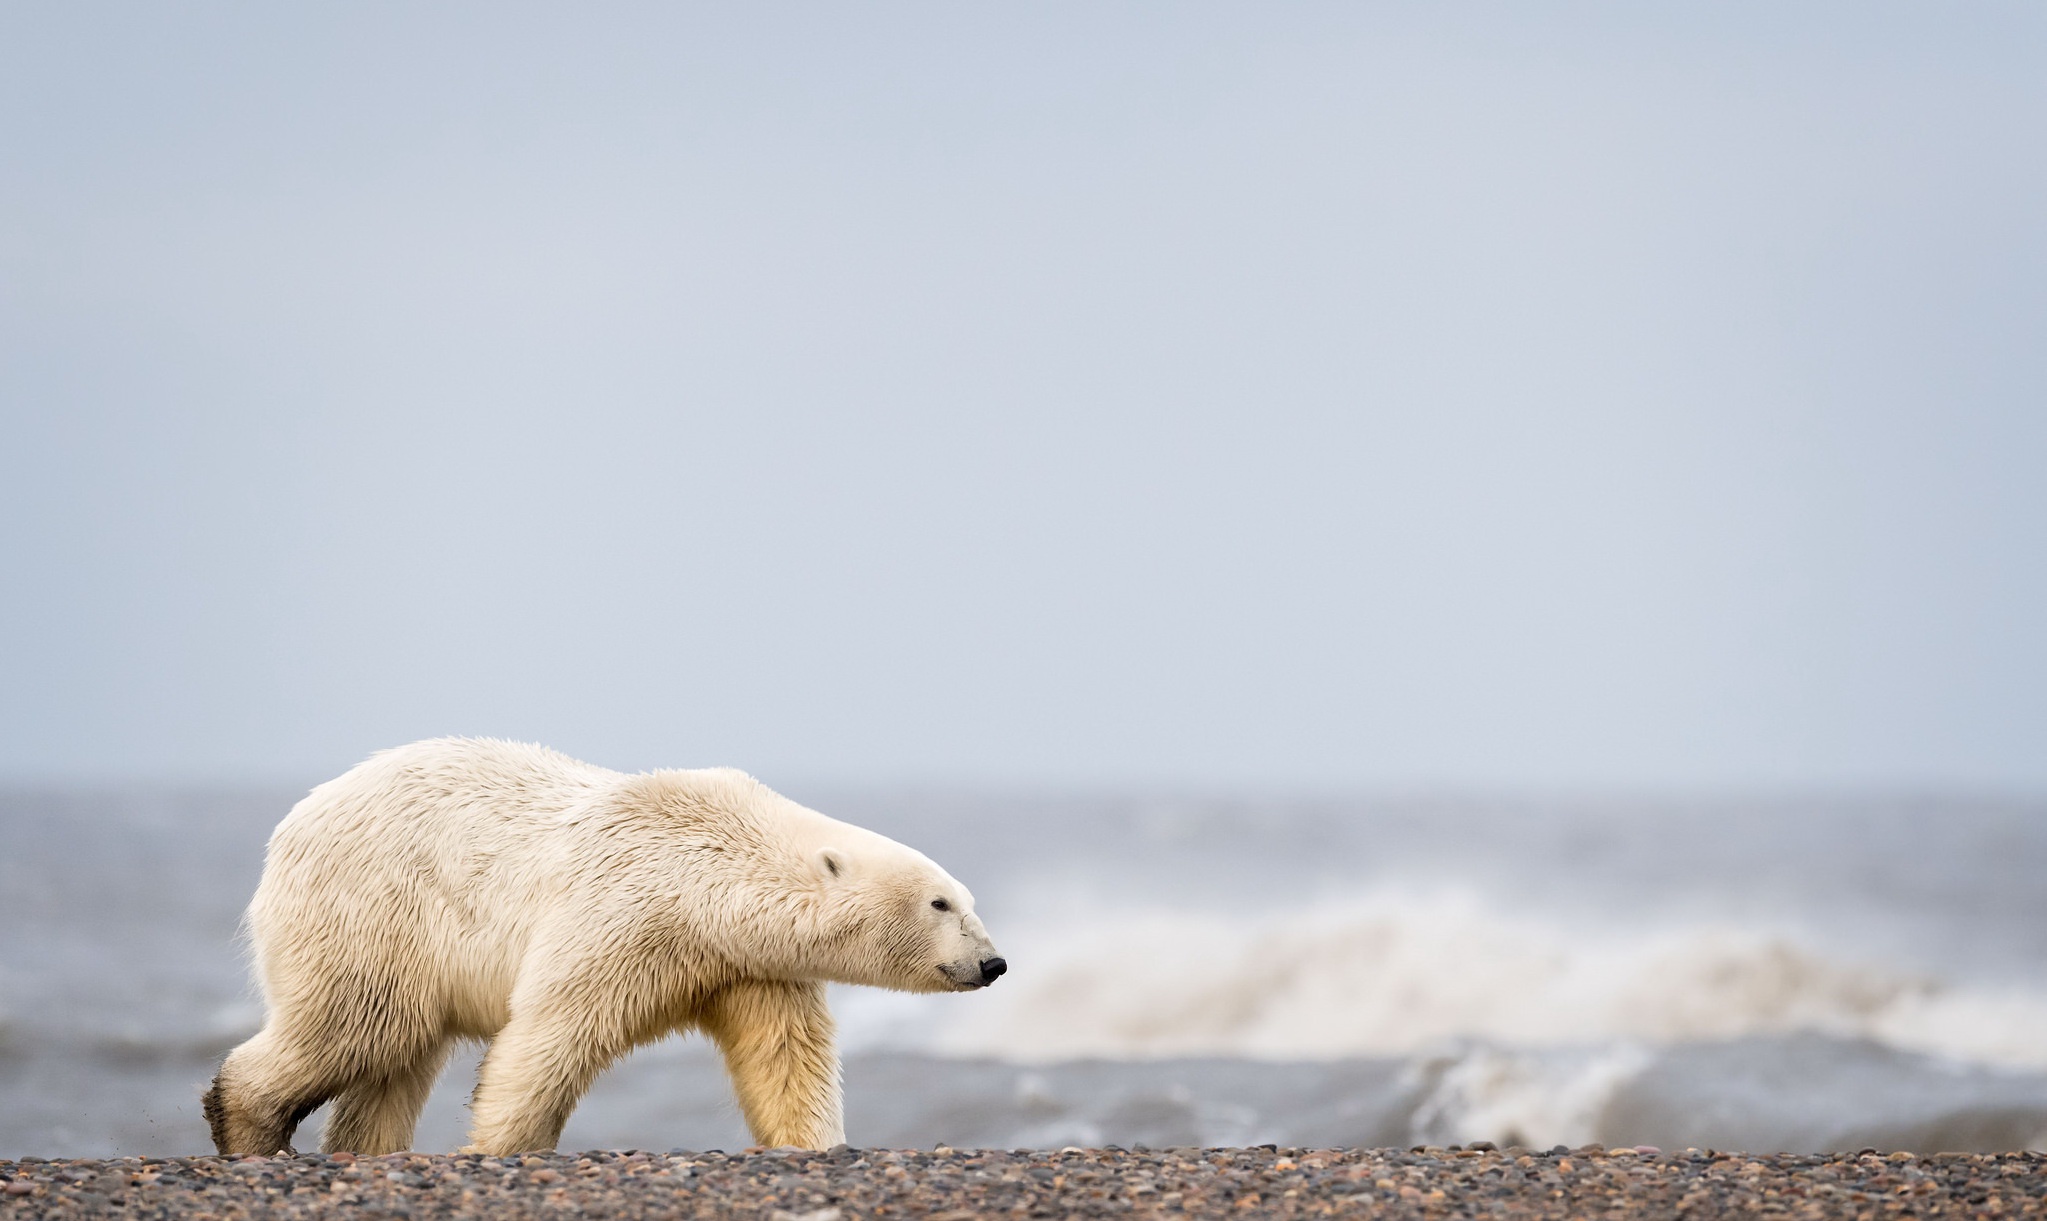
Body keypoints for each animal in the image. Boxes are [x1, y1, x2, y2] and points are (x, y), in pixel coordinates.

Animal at [203, 737, 1003, 1155]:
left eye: (967, 899)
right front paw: (497, 1148)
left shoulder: (747, 965)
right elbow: (549, 1034)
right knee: (355, 1024)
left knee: (395, 1058)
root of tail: (293, 822)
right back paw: (244, 1124)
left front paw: (811, 1141)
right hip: (373, 912)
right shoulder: (622, 914)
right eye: (942, 902)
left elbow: (784, 1057)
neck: (708, 875)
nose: (993, 962)